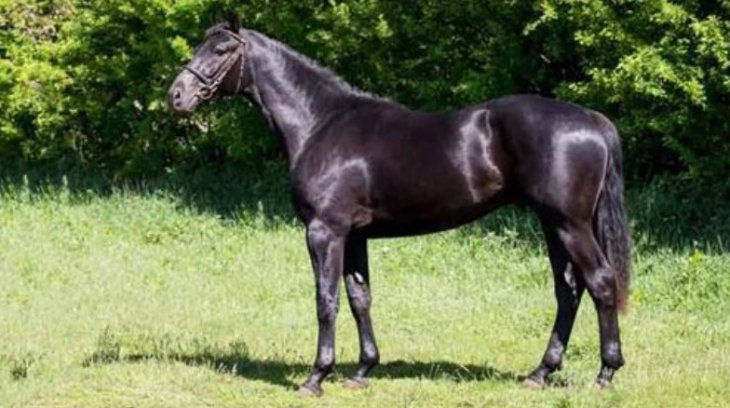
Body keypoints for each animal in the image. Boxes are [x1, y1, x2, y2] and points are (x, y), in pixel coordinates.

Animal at [168, 16, 631, 397]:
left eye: (221, 50)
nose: (177, 95)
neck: (321, 123)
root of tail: (592, 120)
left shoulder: (324, 230)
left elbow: (326, 300)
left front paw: (316, 377)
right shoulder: (354, 235)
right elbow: (360, 297)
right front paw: (362, 371)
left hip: (569, 224)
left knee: (601, 282)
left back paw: (605, 374)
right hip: (553, 224)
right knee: (569, 291)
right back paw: (540, 373)